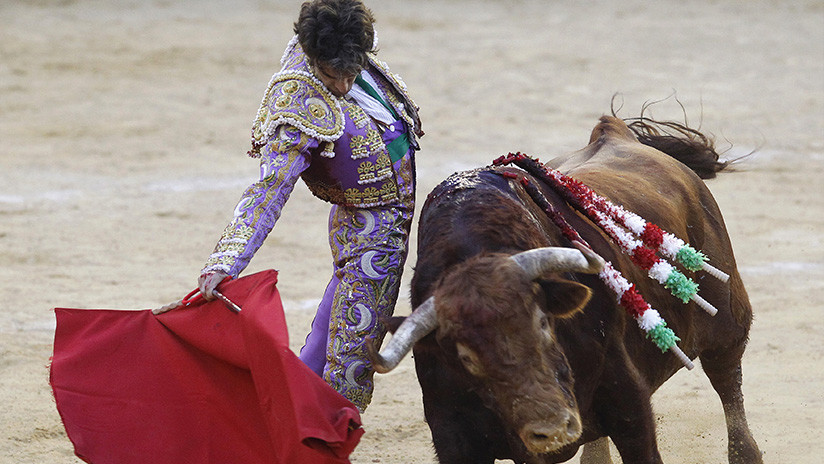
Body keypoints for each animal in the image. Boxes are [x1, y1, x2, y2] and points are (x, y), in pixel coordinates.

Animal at [370, 116, 764, 464]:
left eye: (544, 325)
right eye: (466, 358)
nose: (552, 428)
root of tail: (616, 131)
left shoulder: (628, 401)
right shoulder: (453, 436)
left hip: (728, 325)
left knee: (728, 386)